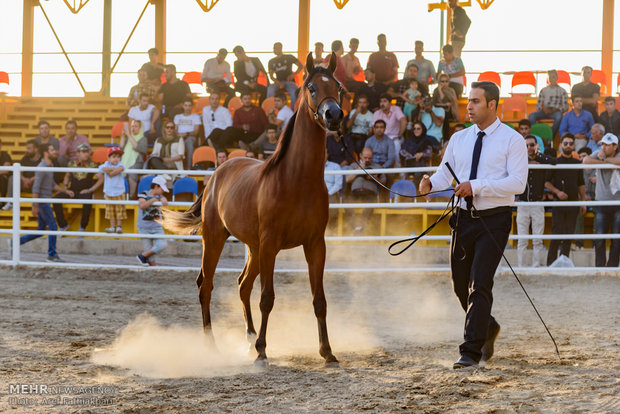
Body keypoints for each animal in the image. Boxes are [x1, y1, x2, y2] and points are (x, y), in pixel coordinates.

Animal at [161, 52, 344, 366]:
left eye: (338, 86)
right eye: (311, 87)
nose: (333, 114)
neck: (297, 178)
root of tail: (217, 173)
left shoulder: (315, 244)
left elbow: (319, 299)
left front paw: (327, 351)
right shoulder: (271, 244)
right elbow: (267, 298)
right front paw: (262, 350)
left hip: (254, 248)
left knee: (242, 285)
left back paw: (248, 339)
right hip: (216, 239)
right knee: (205, 285)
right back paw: (212, 345)